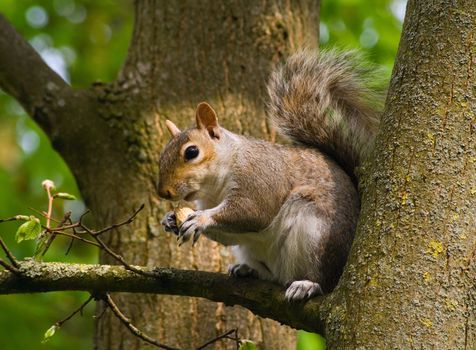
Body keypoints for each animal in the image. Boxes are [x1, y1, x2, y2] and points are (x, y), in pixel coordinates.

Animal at [158, 50, 382, 300]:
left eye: (192, 152)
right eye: (162, 154)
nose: (164, 192)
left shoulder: (260, 178)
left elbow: (252, 212)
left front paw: (201, 218)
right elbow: (229, 236)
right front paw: (170, 219)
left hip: (317, 235)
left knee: (323, 278)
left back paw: (308, 284)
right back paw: (247, 270)